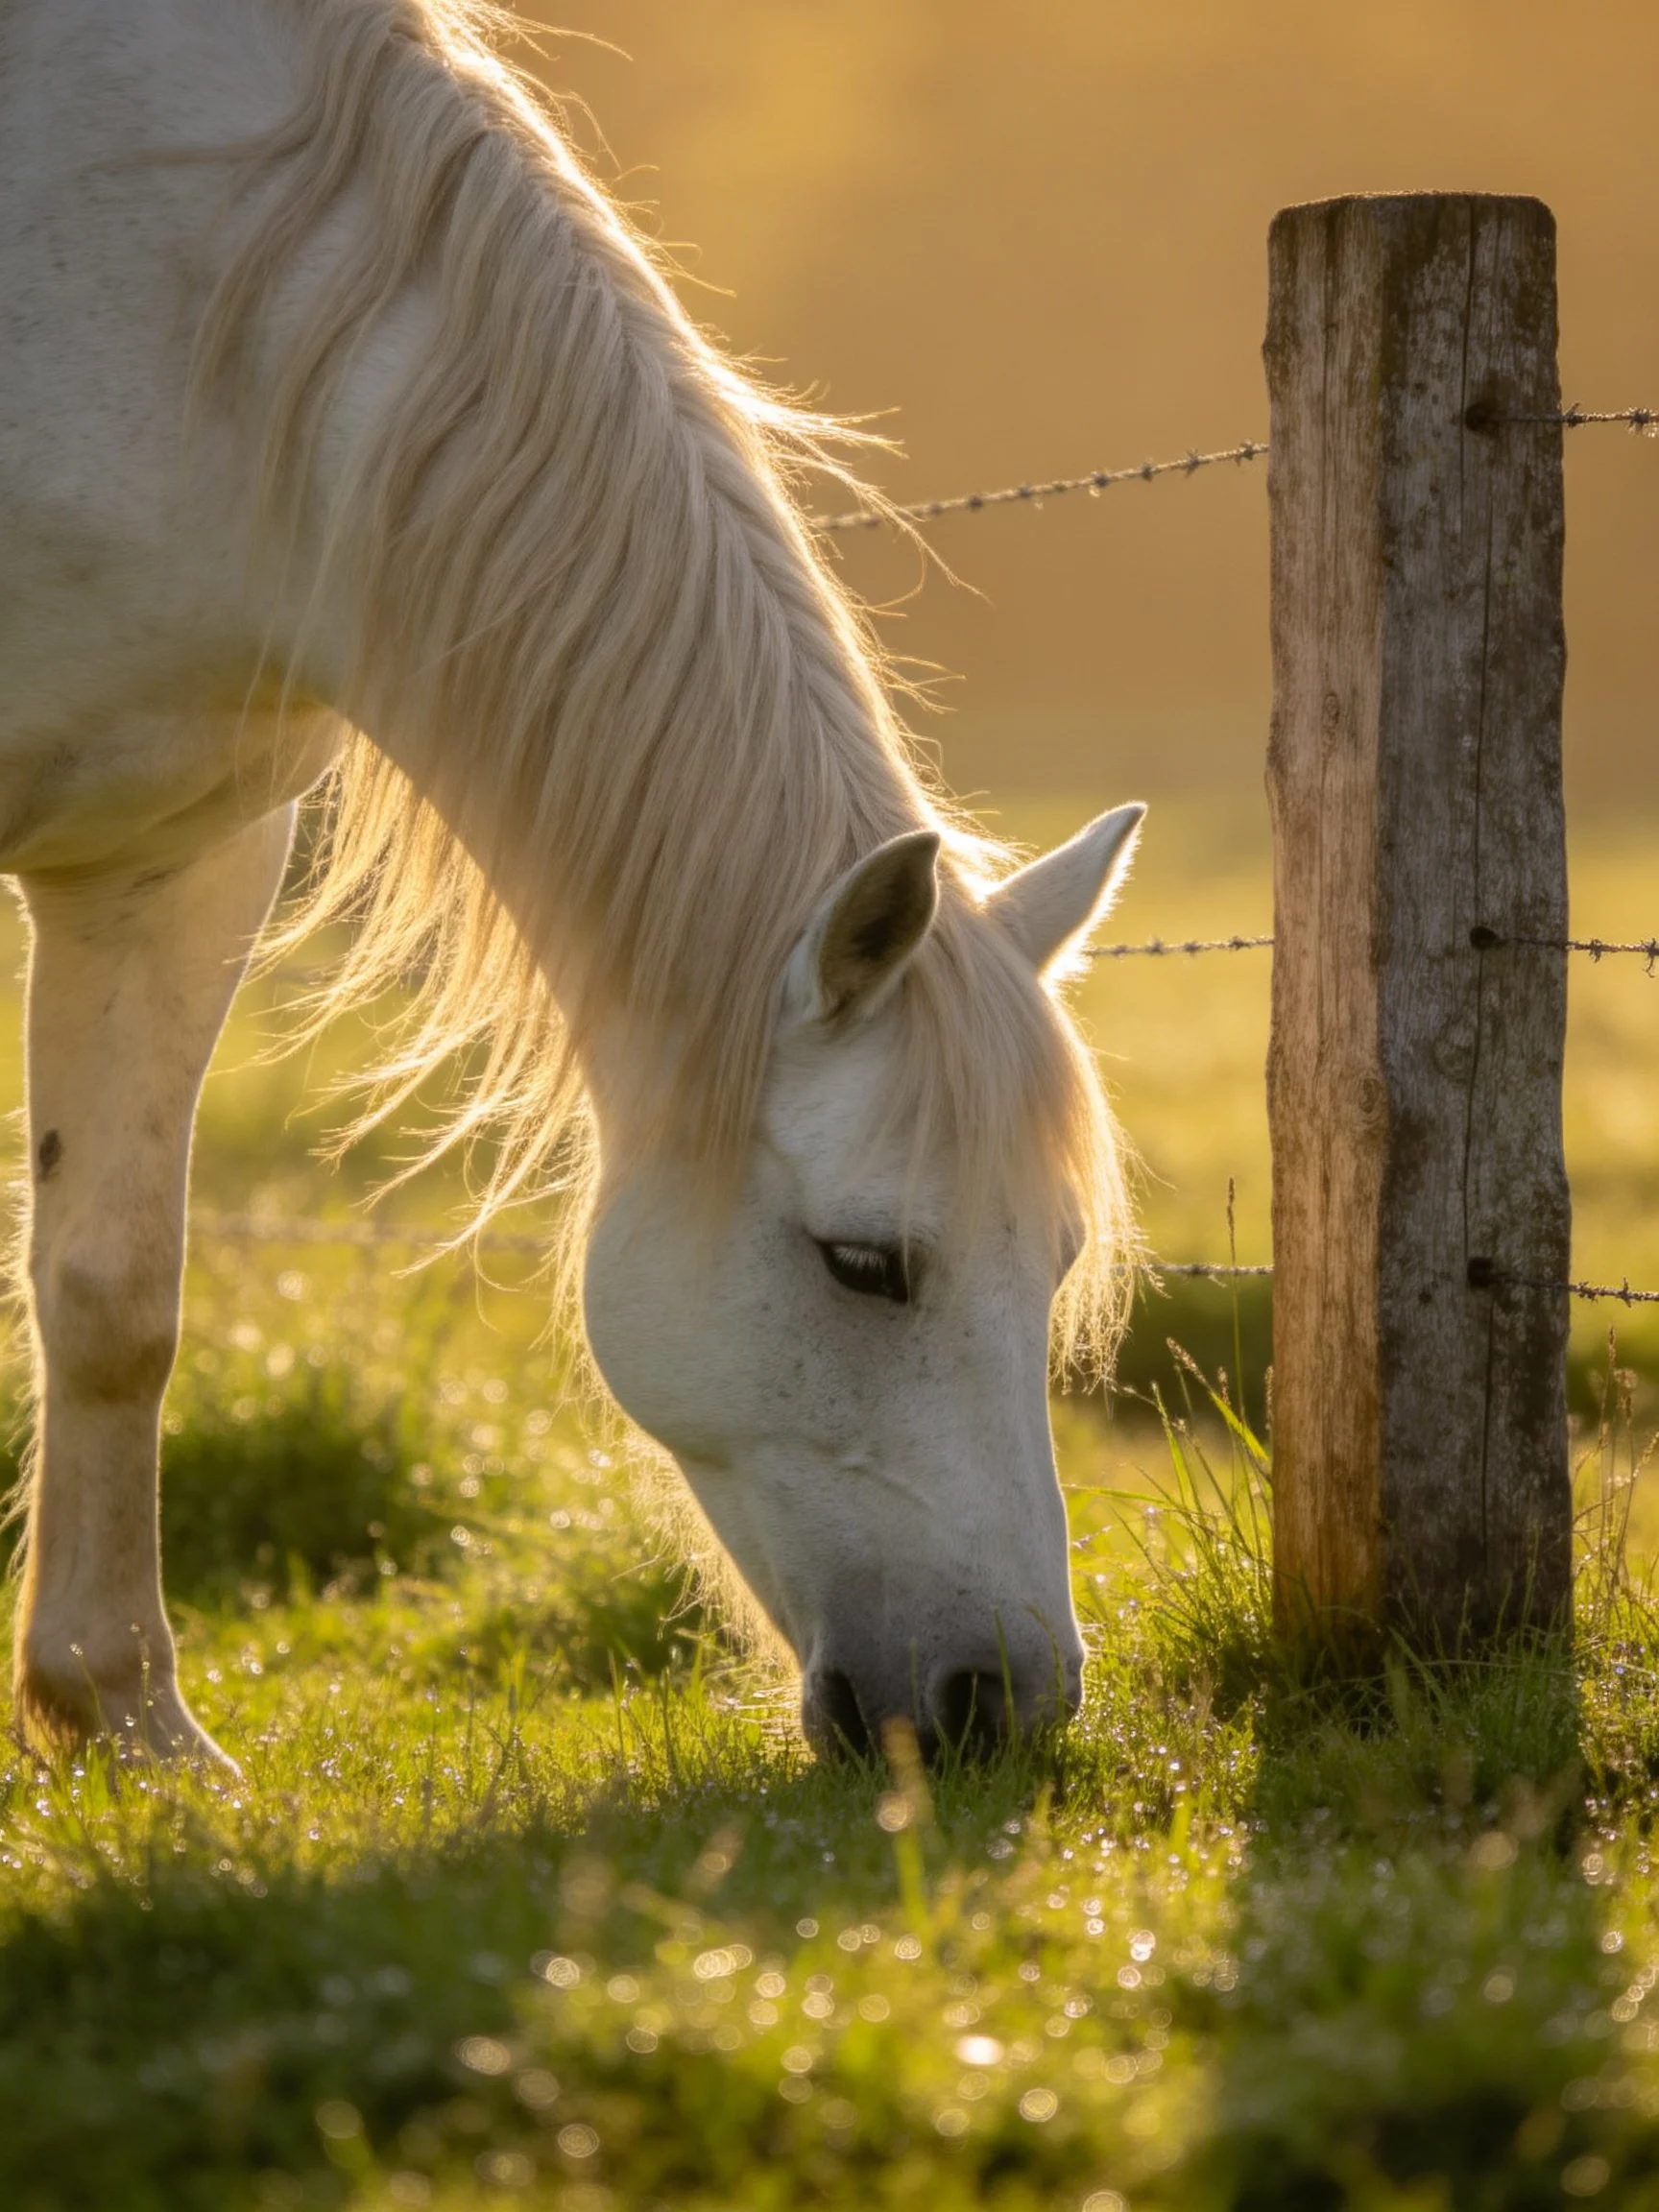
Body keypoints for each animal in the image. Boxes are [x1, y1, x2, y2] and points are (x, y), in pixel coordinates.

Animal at [0, 0, 1144, 1769]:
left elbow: (115, 1290)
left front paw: (128, 1720)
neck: (159, 297)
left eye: (1062, 1256)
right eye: (865, 1263)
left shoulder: (169, 860)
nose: (999, 1706)